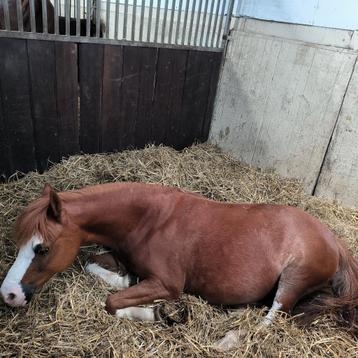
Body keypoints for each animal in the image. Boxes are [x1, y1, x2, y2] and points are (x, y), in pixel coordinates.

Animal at [0, 183, 358, 348]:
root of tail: (335, 241)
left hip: (292, 281)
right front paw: (126, 281)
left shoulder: (169, 284)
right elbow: (94, 266)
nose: (9, 294)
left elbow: (112, 303)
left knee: (270, 321)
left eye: (42, 248)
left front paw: (157, 314)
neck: (147, 220)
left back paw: (229, 339)